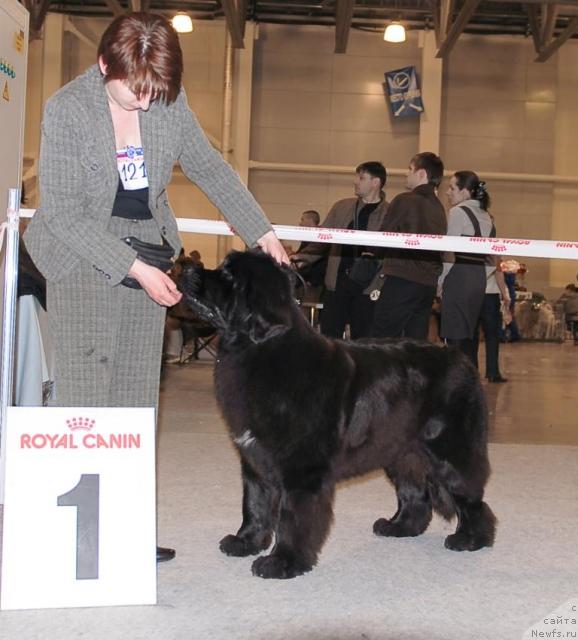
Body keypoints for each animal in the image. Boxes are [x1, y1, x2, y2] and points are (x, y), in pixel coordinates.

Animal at [181, 250, 496, 580]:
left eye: (229, 275)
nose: (187, 269)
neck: (260, 349)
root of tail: (463, 360)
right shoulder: (255, 460)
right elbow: (254, 504)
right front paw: (244, 542)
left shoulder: (301, 469)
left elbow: (292, 518)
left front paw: (283, 562)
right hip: (400, 451)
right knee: (415, 493)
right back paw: (398, 527)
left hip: (450, 450)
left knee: (471, 497)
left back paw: (470, 539)